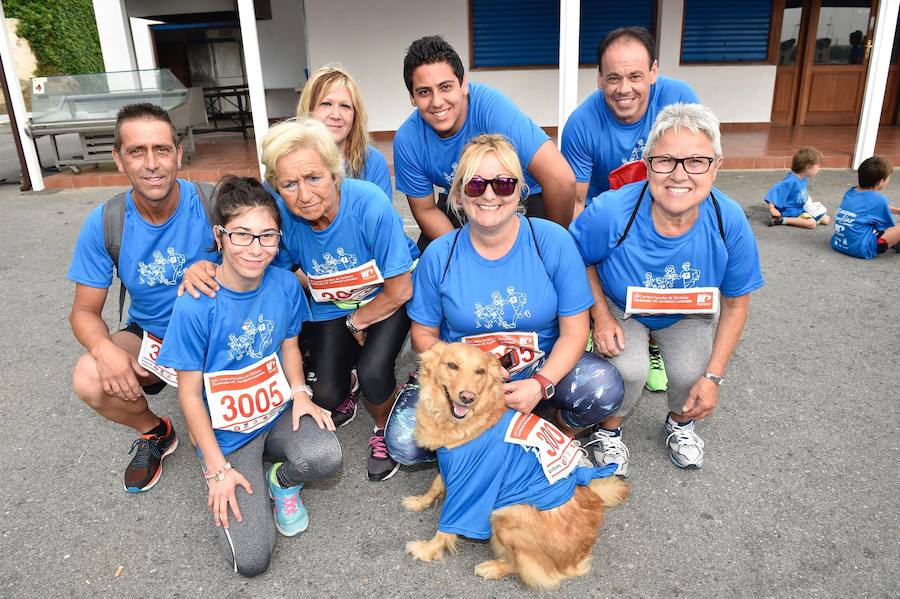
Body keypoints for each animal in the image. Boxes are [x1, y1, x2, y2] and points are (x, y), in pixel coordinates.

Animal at [404, 342, 628, 592]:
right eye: (452, 365)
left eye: (480, 371)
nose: (467, 397)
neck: (474, 420)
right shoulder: (453, 466)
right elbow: (436, 484)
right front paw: (419, 502)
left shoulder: (474, 484)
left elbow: (451, 521)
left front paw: (428, 549)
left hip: (507, 513)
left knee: (530, 568)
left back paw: (493, 568)